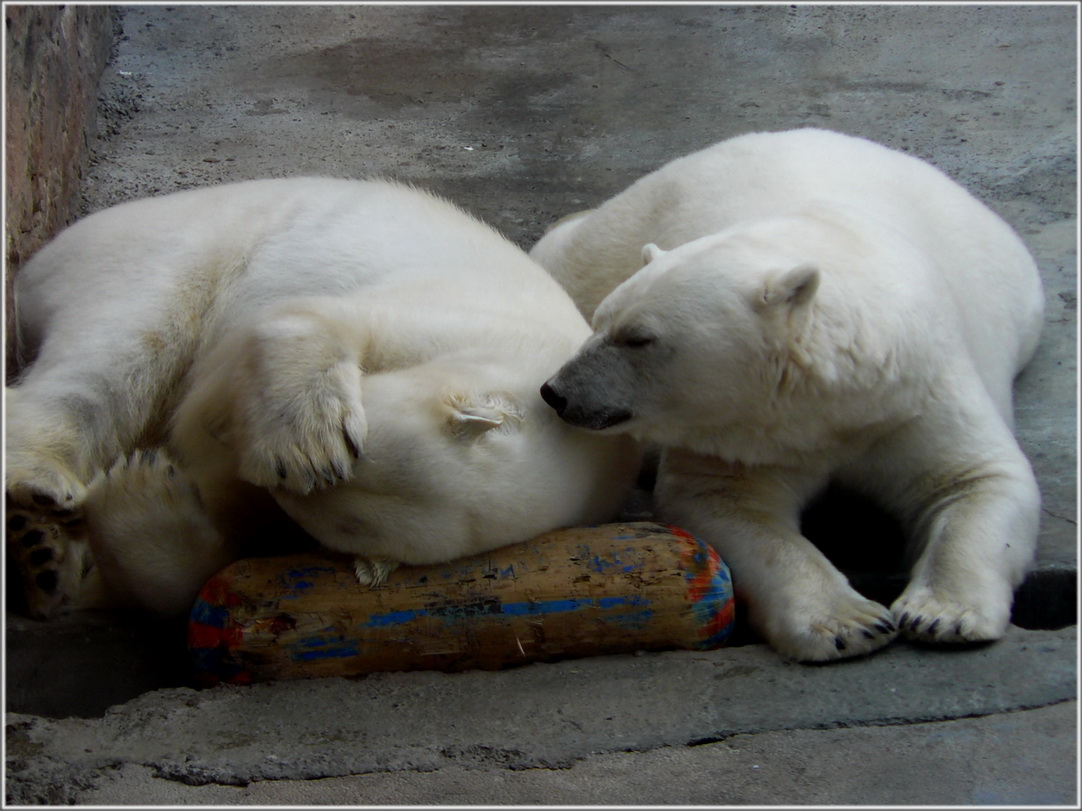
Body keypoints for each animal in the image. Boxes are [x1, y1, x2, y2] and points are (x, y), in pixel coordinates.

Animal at [6, 179, 631, 622]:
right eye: (356, 445)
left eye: (333, 522)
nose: (231, 448)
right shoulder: (460, 314)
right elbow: (305, 321)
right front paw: (303, 442)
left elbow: (220, 549)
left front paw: (144, 490)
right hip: (173, 248)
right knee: (123, 347)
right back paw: (40, 492)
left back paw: (41, 556)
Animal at [536, 127, 1043, 661]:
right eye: (598, 324)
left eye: (638, 338)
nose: (556, 392)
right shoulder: (742, 434)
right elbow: (729, 501)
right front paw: (850, 624)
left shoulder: (912, 394)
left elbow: (973, 477)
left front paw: (942, 614)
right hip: (620, 229)